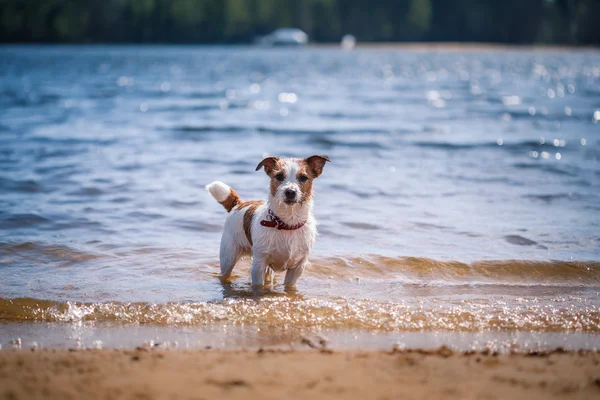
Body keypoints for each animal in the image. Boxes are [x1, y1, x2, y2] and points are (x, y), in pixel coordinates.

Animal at [205, 155, 328, 286]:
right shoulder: (259, 265)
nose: (290, 191)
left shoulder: (297, 268)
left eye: (303, 177)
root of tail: (239, 204)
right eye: (279, 176)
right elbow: (259, 286)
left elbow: (289, 286)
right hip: (228, 258)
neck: (287, 223)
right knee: (225, 273)